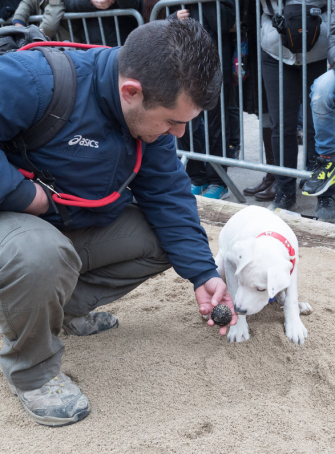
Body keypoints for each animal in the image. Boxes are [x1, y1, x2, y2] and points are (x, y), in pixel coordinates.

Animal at [215, 206, 312, 344]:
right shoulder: (229, 263)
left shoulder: (292, 269)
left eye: (261, 289)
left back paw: (300, 305)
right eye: (239, 281)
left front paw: (295, 327)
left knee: (281, 296)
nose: (239, 310)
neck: (270, 240)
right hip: (220, 265)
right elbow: (233, 293)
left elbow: (291, 298)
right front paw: (238, 329)